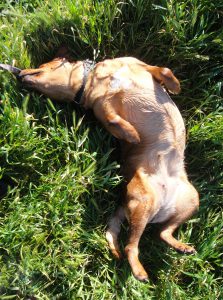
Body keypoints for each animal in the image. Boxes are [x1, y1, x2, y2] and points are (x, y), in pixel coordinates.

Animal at [0, 52, 199, 282]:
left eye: (43, 64)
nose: (19, 75)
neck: (95, 78)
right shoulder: (102, 106)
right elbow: (114, 121)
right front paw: (132, 134)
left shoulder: (139, 67)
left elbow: (163, 70)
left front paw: (174, 86)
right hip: (146, 201)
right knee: (133, 245)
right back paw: (140, 271)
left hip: (191, 200)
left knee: (163, 233)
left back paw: (181, 247)